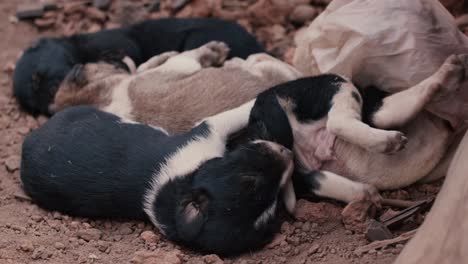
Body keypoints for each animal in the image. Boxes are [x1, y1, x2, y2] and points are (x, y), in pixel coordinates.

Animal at [20, 101, 296, 256]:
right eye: (251, 178)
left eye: (272, 210)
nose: (289, 154)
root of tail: (28, 143)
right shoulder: (206, 132)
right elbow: (235, 113)